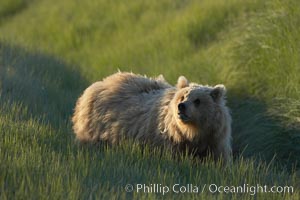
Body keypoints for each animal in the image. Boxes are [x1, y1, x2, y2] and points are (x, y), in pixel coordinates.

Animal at [72, 72, 232, 162]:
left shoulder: (214, 142)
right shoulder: (170, 143)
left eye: (197, 100)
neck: (193, 133)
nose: (181, 106)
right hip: (95, 130)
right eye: (182, 96)